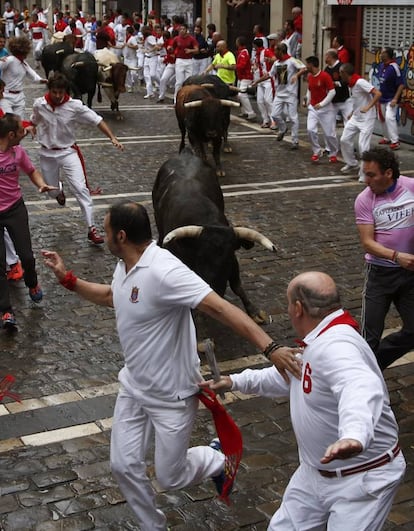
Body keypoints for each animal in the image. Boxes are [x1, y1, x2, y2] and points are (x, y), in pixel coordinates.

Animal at [152, 148, 274, 326]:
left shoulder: (234, 262)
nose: (215, 291)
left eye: (228, 258)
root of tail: (185, 154)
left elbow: (237, 285)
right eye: (201, 257)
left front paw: (253, 311)